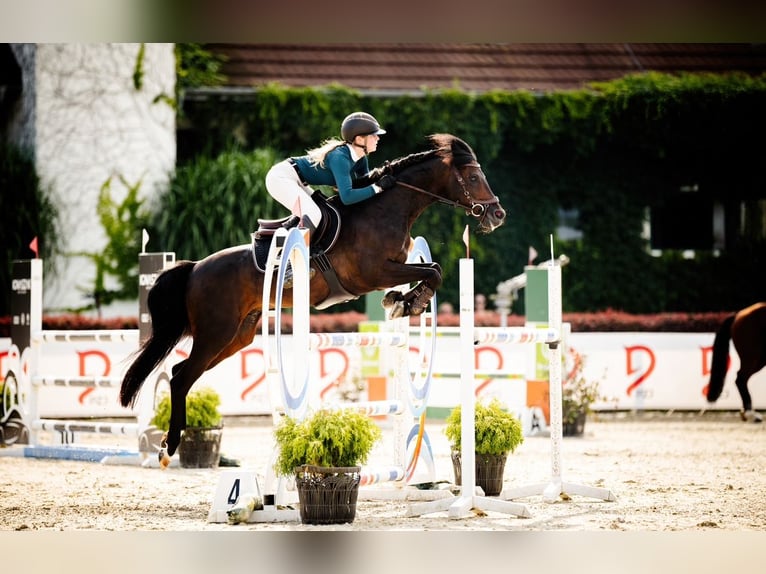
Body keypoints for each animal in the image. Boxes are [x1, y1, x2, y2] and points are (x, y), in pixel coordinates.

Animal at [121, 133, 510, 466]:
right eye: (473, 177)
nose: (498, 215)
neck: (385, 211)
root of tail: (195, 268)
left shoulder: (394, 266)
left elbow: (431, 269)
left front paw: (401, 301)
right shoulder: (373, 273)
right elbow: (434, 271)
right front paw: (406, 301)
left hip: (236, 337)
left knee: (179, 372)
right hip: (215, 332)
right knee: (181, 378)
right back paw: (168, 447)